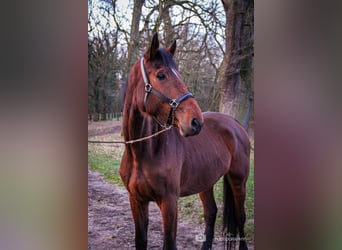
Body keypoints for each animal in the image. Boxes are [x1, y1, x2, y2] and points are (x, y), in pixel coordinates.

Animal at [120, 33, 251, 250]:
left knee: (240, 218)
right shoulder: (136, 201)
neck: (144, 153)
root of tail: (235, 124)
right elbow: (141, 241)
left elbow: (169, 244)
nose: (196, 122)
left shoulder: (169, 202)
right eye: (161, 75)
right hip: (206, 181)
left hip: (238, 180)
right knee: (211, 213)